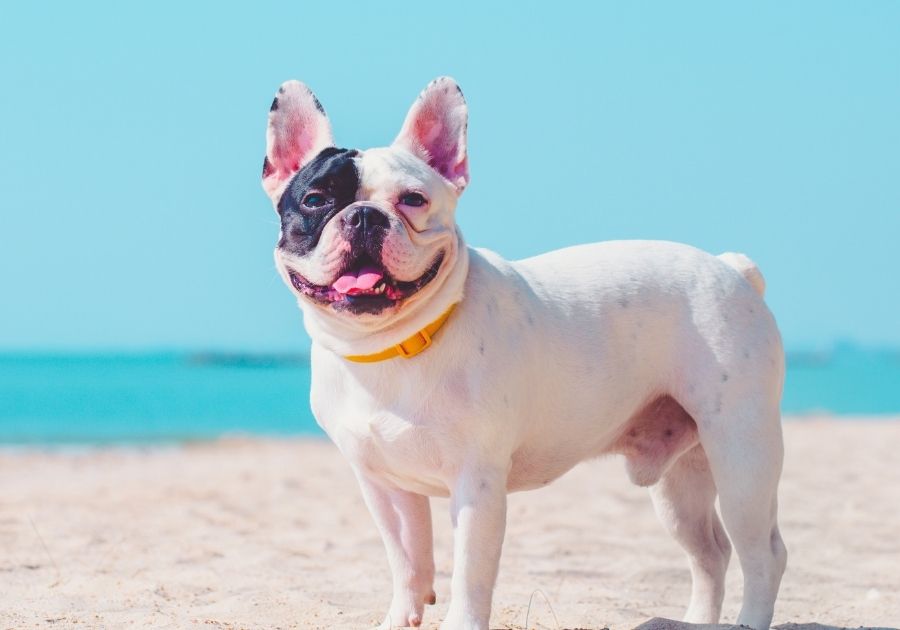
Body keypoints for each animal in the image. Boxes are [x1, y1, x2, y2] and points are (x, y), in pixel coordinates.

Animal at [260, 78, 788, 630]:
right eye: (316, 199)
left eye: (413, 199)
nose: (364, 215)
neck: (393, 345)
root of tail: (732, 268)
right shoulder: (383, 485)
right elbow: (407, 561)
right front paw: (399, 618)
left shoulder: (477, 486)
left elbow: (469, 574)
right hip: (680, 479)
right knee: (710, 552)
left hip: (741, 453)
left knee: (762, 553)